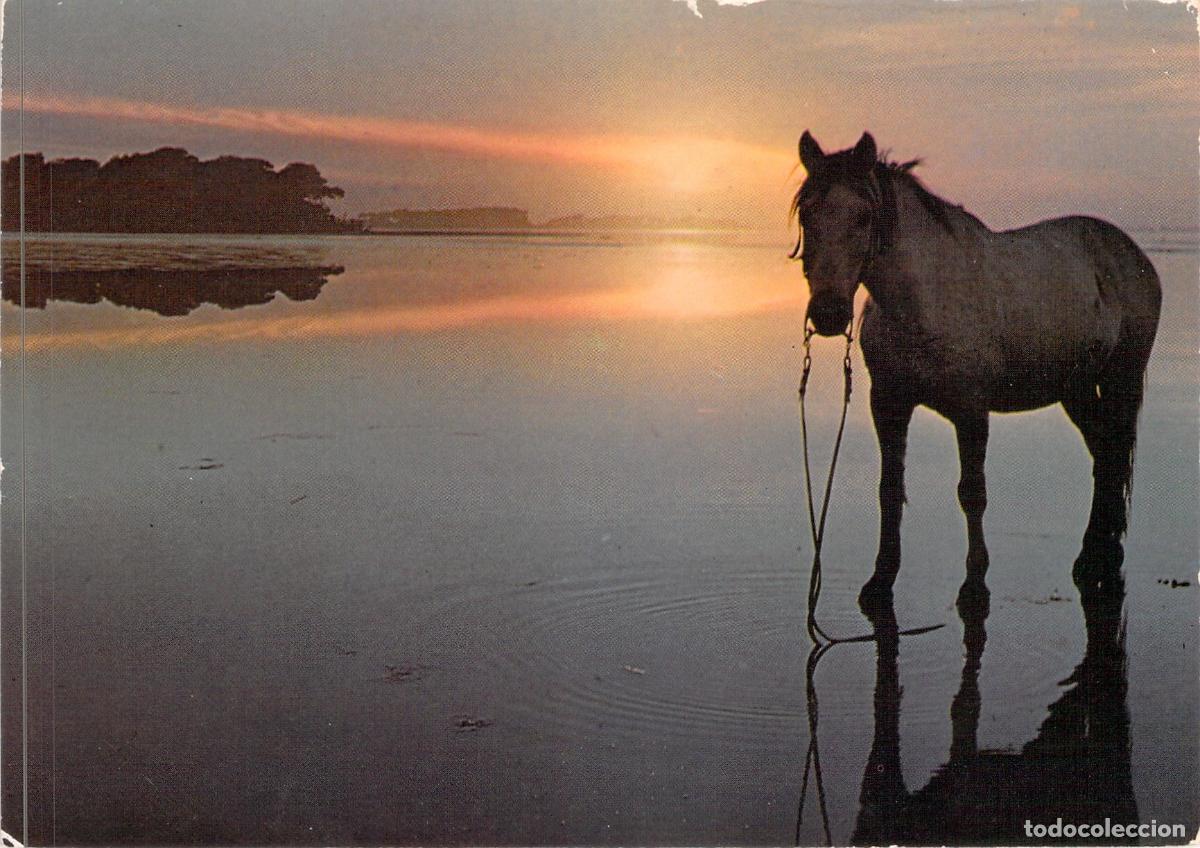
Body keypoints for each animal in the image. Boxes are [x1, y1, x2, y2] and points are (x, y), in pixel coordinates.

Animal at [789, 131, 1161, 611]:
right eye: (807, 214)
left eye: (864, 216)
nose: (830, 314)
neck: (923, 299)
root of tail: (1131, 253)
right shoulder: (888, 403)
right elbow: (889, 490)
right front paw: (881, 582)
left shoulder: (971, 411)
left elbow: (972, 493)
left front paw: (974, 587)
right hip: (1075, 389)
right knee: (1105, 454)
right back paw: (1093, 558)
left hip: (1121, 378)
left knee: (1113, 453)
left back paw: (1103, 558)